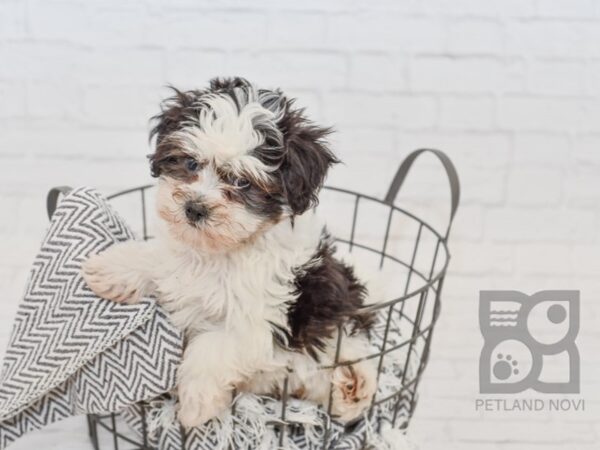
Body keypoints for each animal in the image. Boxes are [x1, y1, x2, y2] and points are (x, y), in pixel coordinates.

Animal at [82, 78, 378, 428]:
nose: (194, 208)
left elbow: (211, 347)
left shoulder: (257, 322)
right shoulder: (180, 257)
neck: (220, 253)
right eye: (191, 163)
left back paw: (352, 387)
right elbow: (158, 256)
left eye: (241, 182)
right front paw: (111, 268)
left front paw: (195, 403)